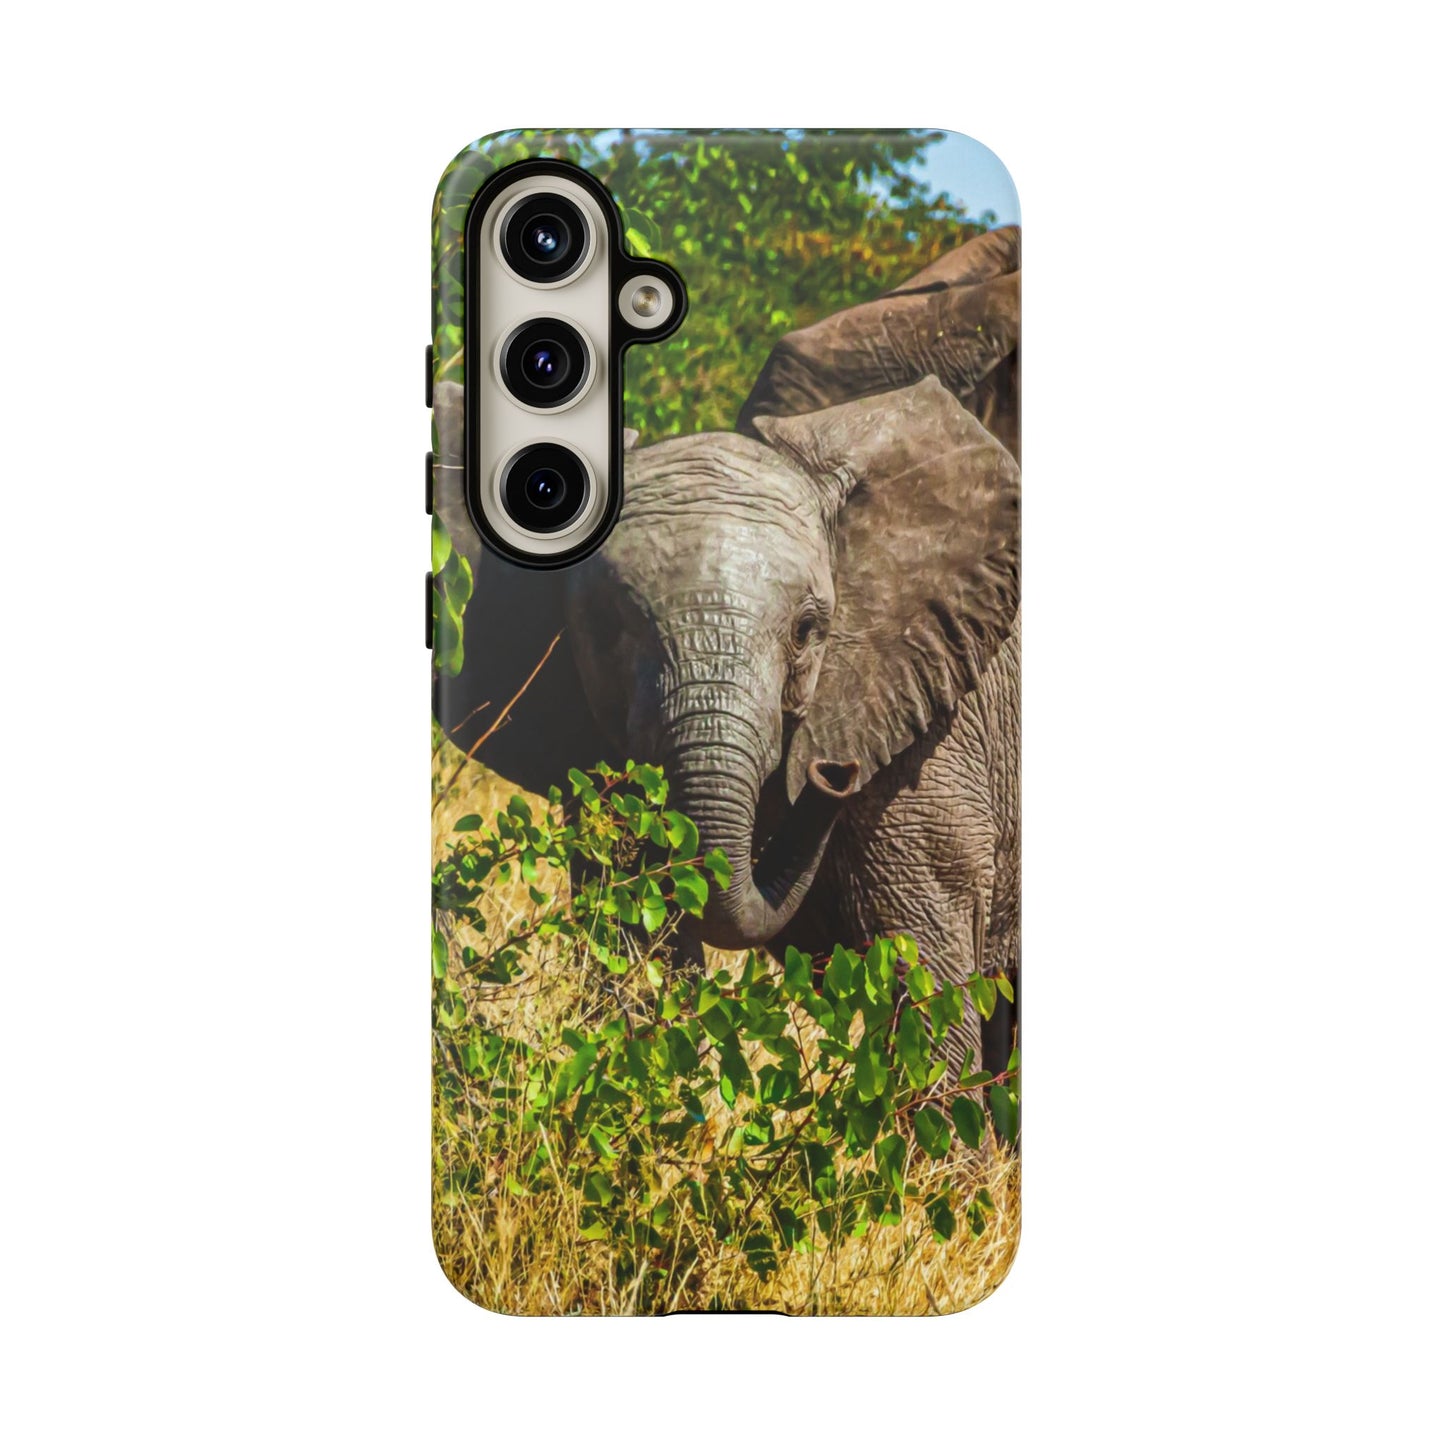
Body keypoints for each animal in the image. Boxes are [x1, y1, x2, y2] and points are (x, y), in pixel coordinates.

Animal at [432, 227, 1021, 1078]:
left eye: (810, 630)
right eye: (604, 627)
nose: (831, 772)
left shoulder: (930, 739)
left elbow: (923, 976)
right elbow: (631, 936)